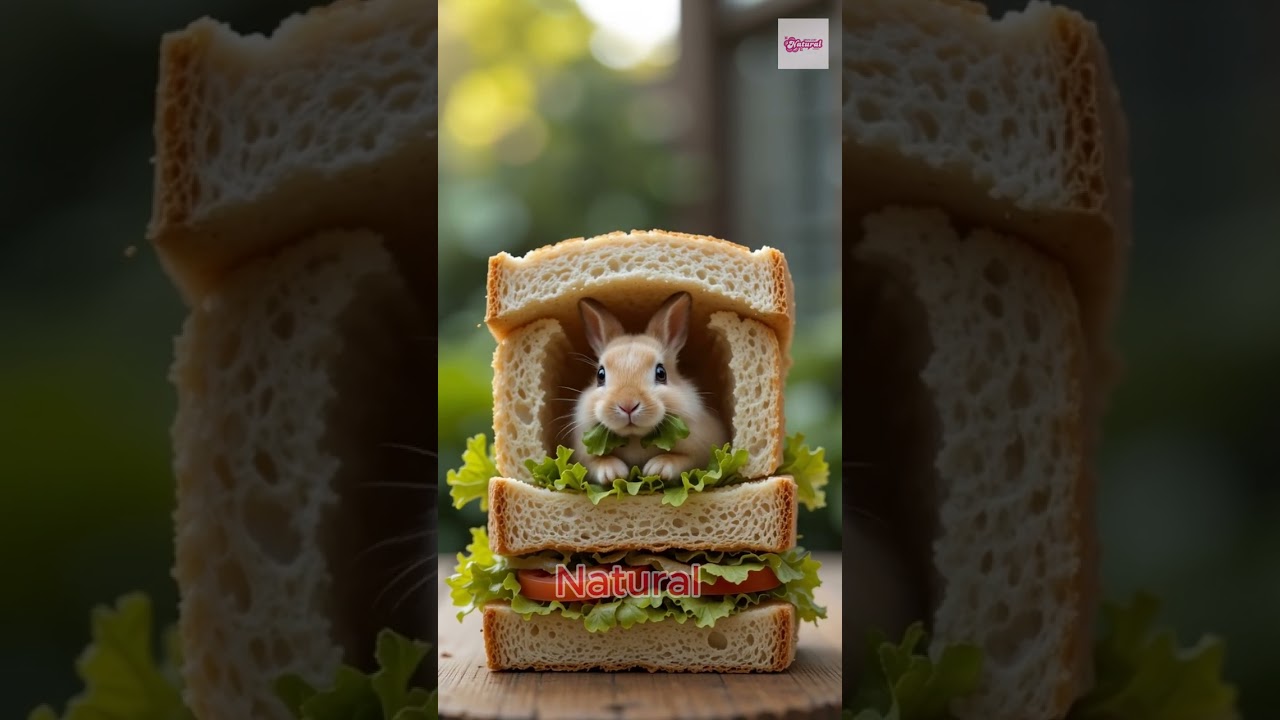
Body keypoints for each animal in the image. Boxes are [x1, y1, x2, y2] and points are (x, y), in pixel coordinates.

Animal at [572, 291, 729, 485]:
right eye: (600, 375)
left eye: (661, 373)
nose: (628, 405)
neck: (635, 438)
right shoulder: (583, 456)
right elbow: (596, 462)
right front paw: (613, 473)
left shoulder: (701, 451)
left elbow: (682, 459)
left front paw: (657, 468)